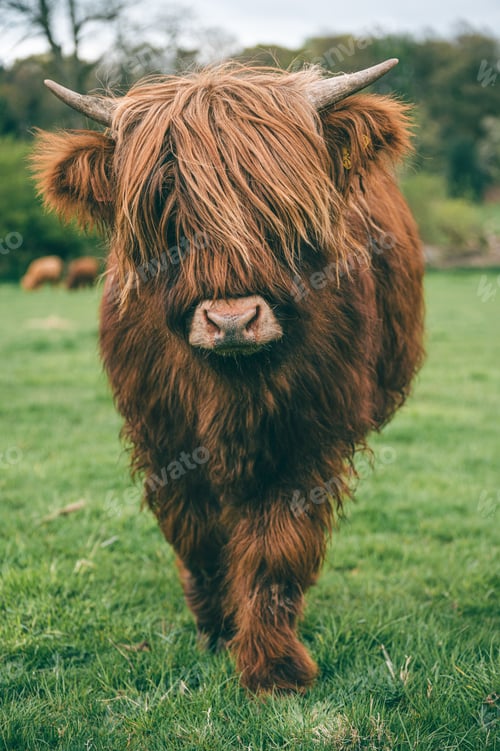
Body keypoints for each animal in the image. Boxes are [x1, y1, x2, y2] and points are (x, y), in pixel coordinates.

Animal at [32, 60, 425, 693]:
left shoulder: (308, 438)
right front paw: (216, 631)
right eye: (166, 207)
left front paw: (273, 666)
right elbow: (196, 535)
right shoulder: (163, 437)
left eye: (278, 208)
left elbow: (277, 546)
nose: (232, 321)